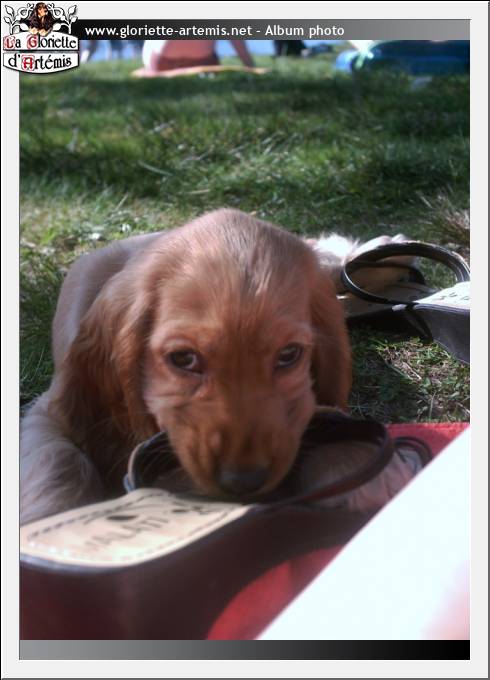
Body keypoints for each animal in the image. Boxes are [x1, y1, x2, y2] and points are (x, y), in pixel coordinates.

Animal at [20, 209, 410, 524]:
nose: (244, 483)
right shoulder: (51, 410)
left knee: (321, 256)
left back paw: (383, 256)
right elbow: (62, 461)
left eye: (289, 355)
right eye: (183, 359)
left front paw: (356, 463)